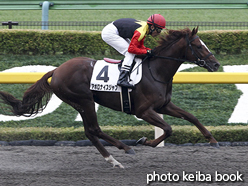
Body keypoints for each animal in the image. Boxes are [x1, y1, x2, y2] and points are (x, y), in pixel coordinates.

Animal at [0, 27, 220, 169]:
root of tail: (57, 70)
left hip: (81, 103)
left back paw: (113, 160)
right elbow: (168, 128)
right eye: (198, 46)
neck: (155, 70)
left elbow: (191, 117)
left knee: (90, 132)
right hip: (84, 101)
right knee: (94, 129)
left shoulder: (163, 105)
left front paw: (212, 140)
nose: (216, 64)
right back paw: (125, 149)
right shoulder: (143, 111)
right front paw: (144, 141)